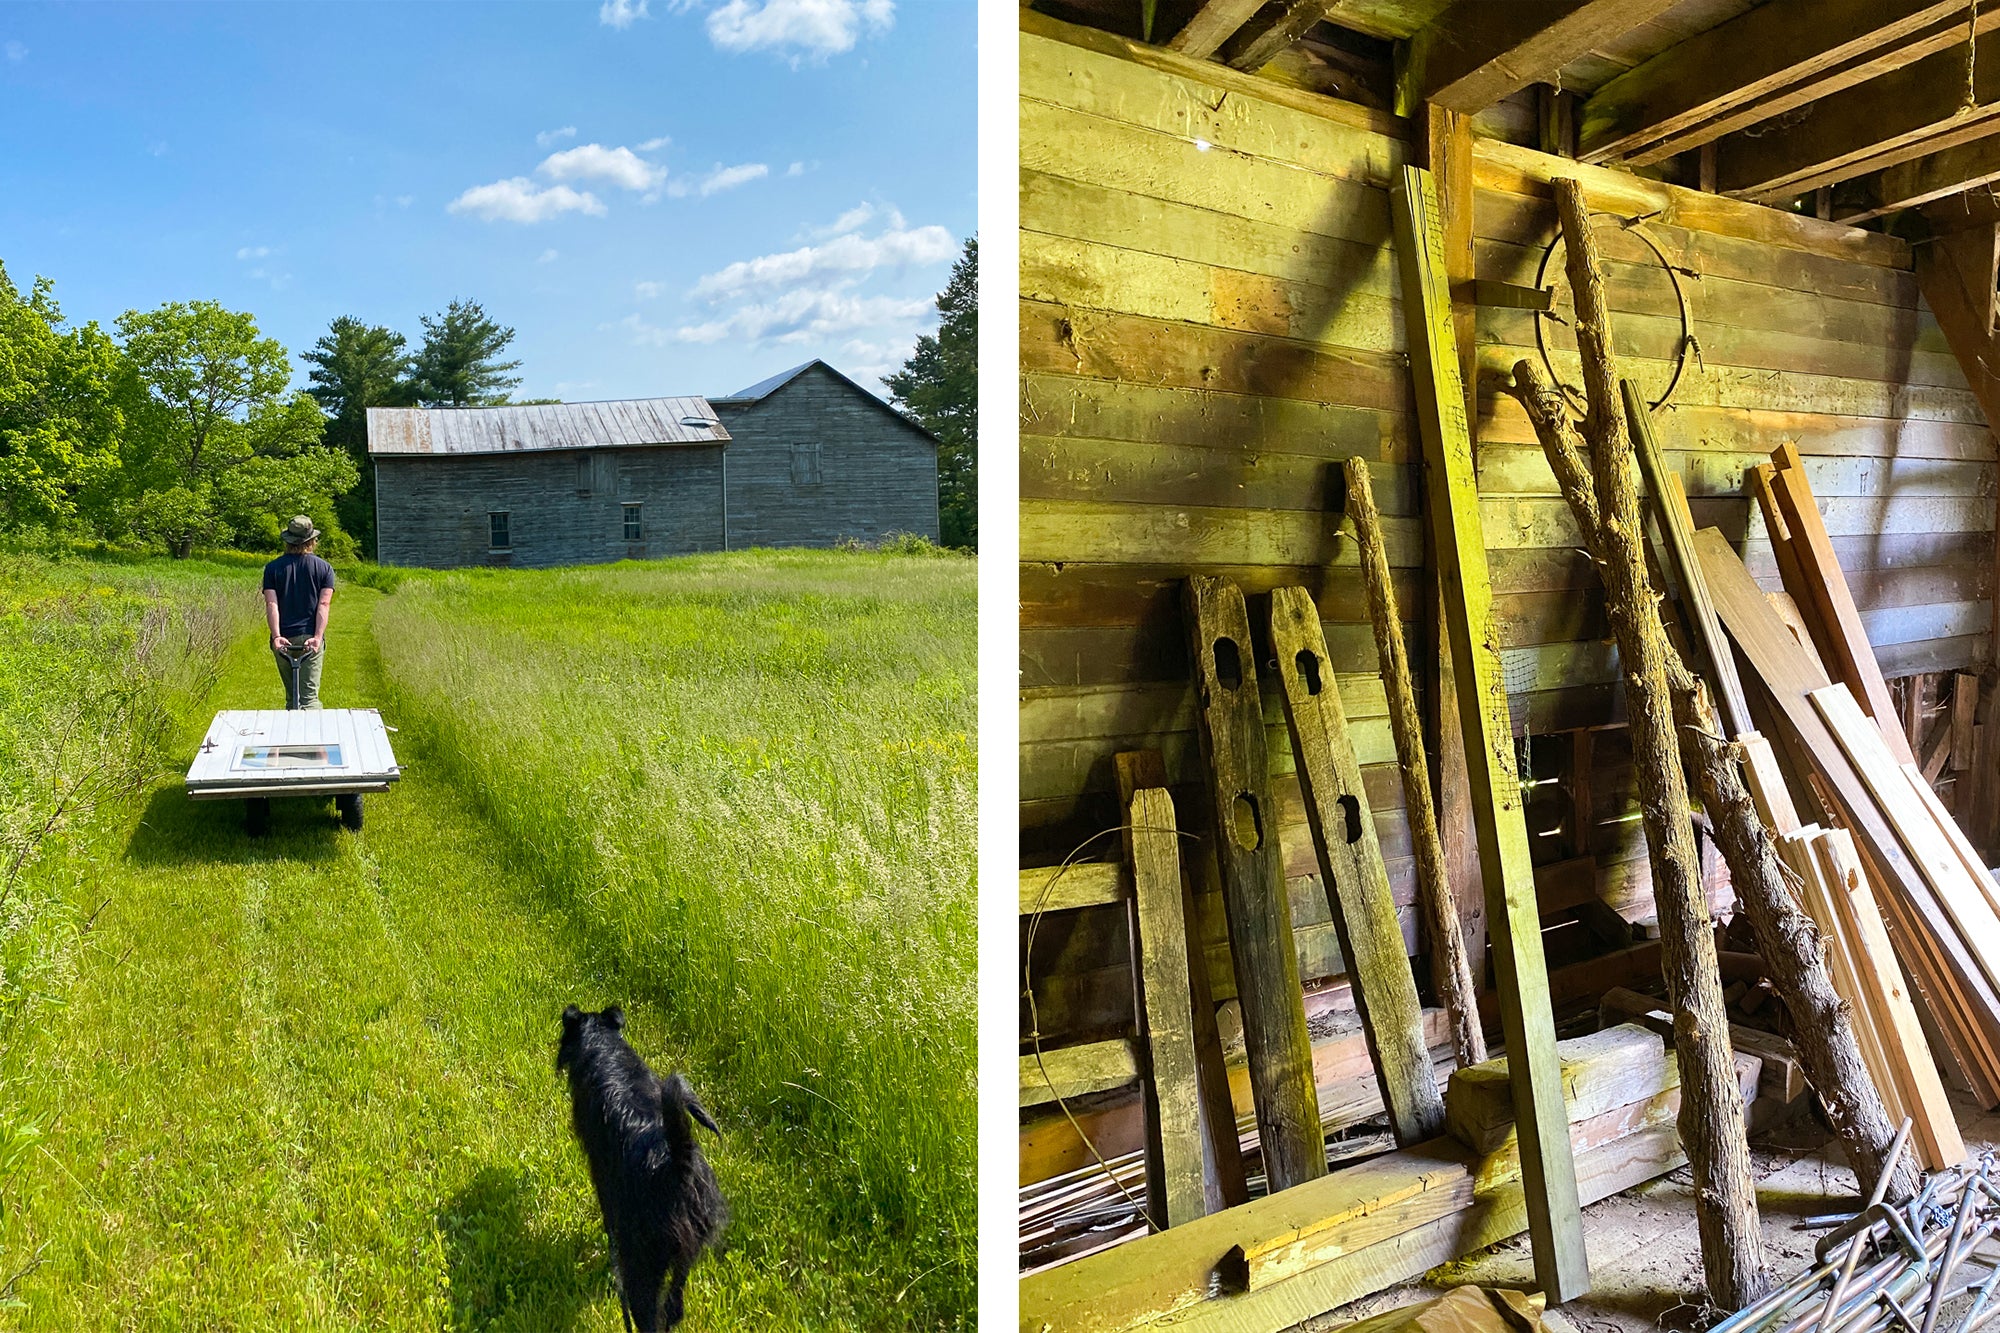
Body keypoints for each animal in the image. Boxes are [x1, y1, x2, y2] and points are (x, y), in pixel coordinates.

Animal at [556, 1000, 728, 1320]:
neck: (604, 1046)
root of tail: (676, 1168)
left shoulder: (602, 1174)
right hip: (687, 1254)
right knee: (674, 1308)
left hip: (643, 1265)